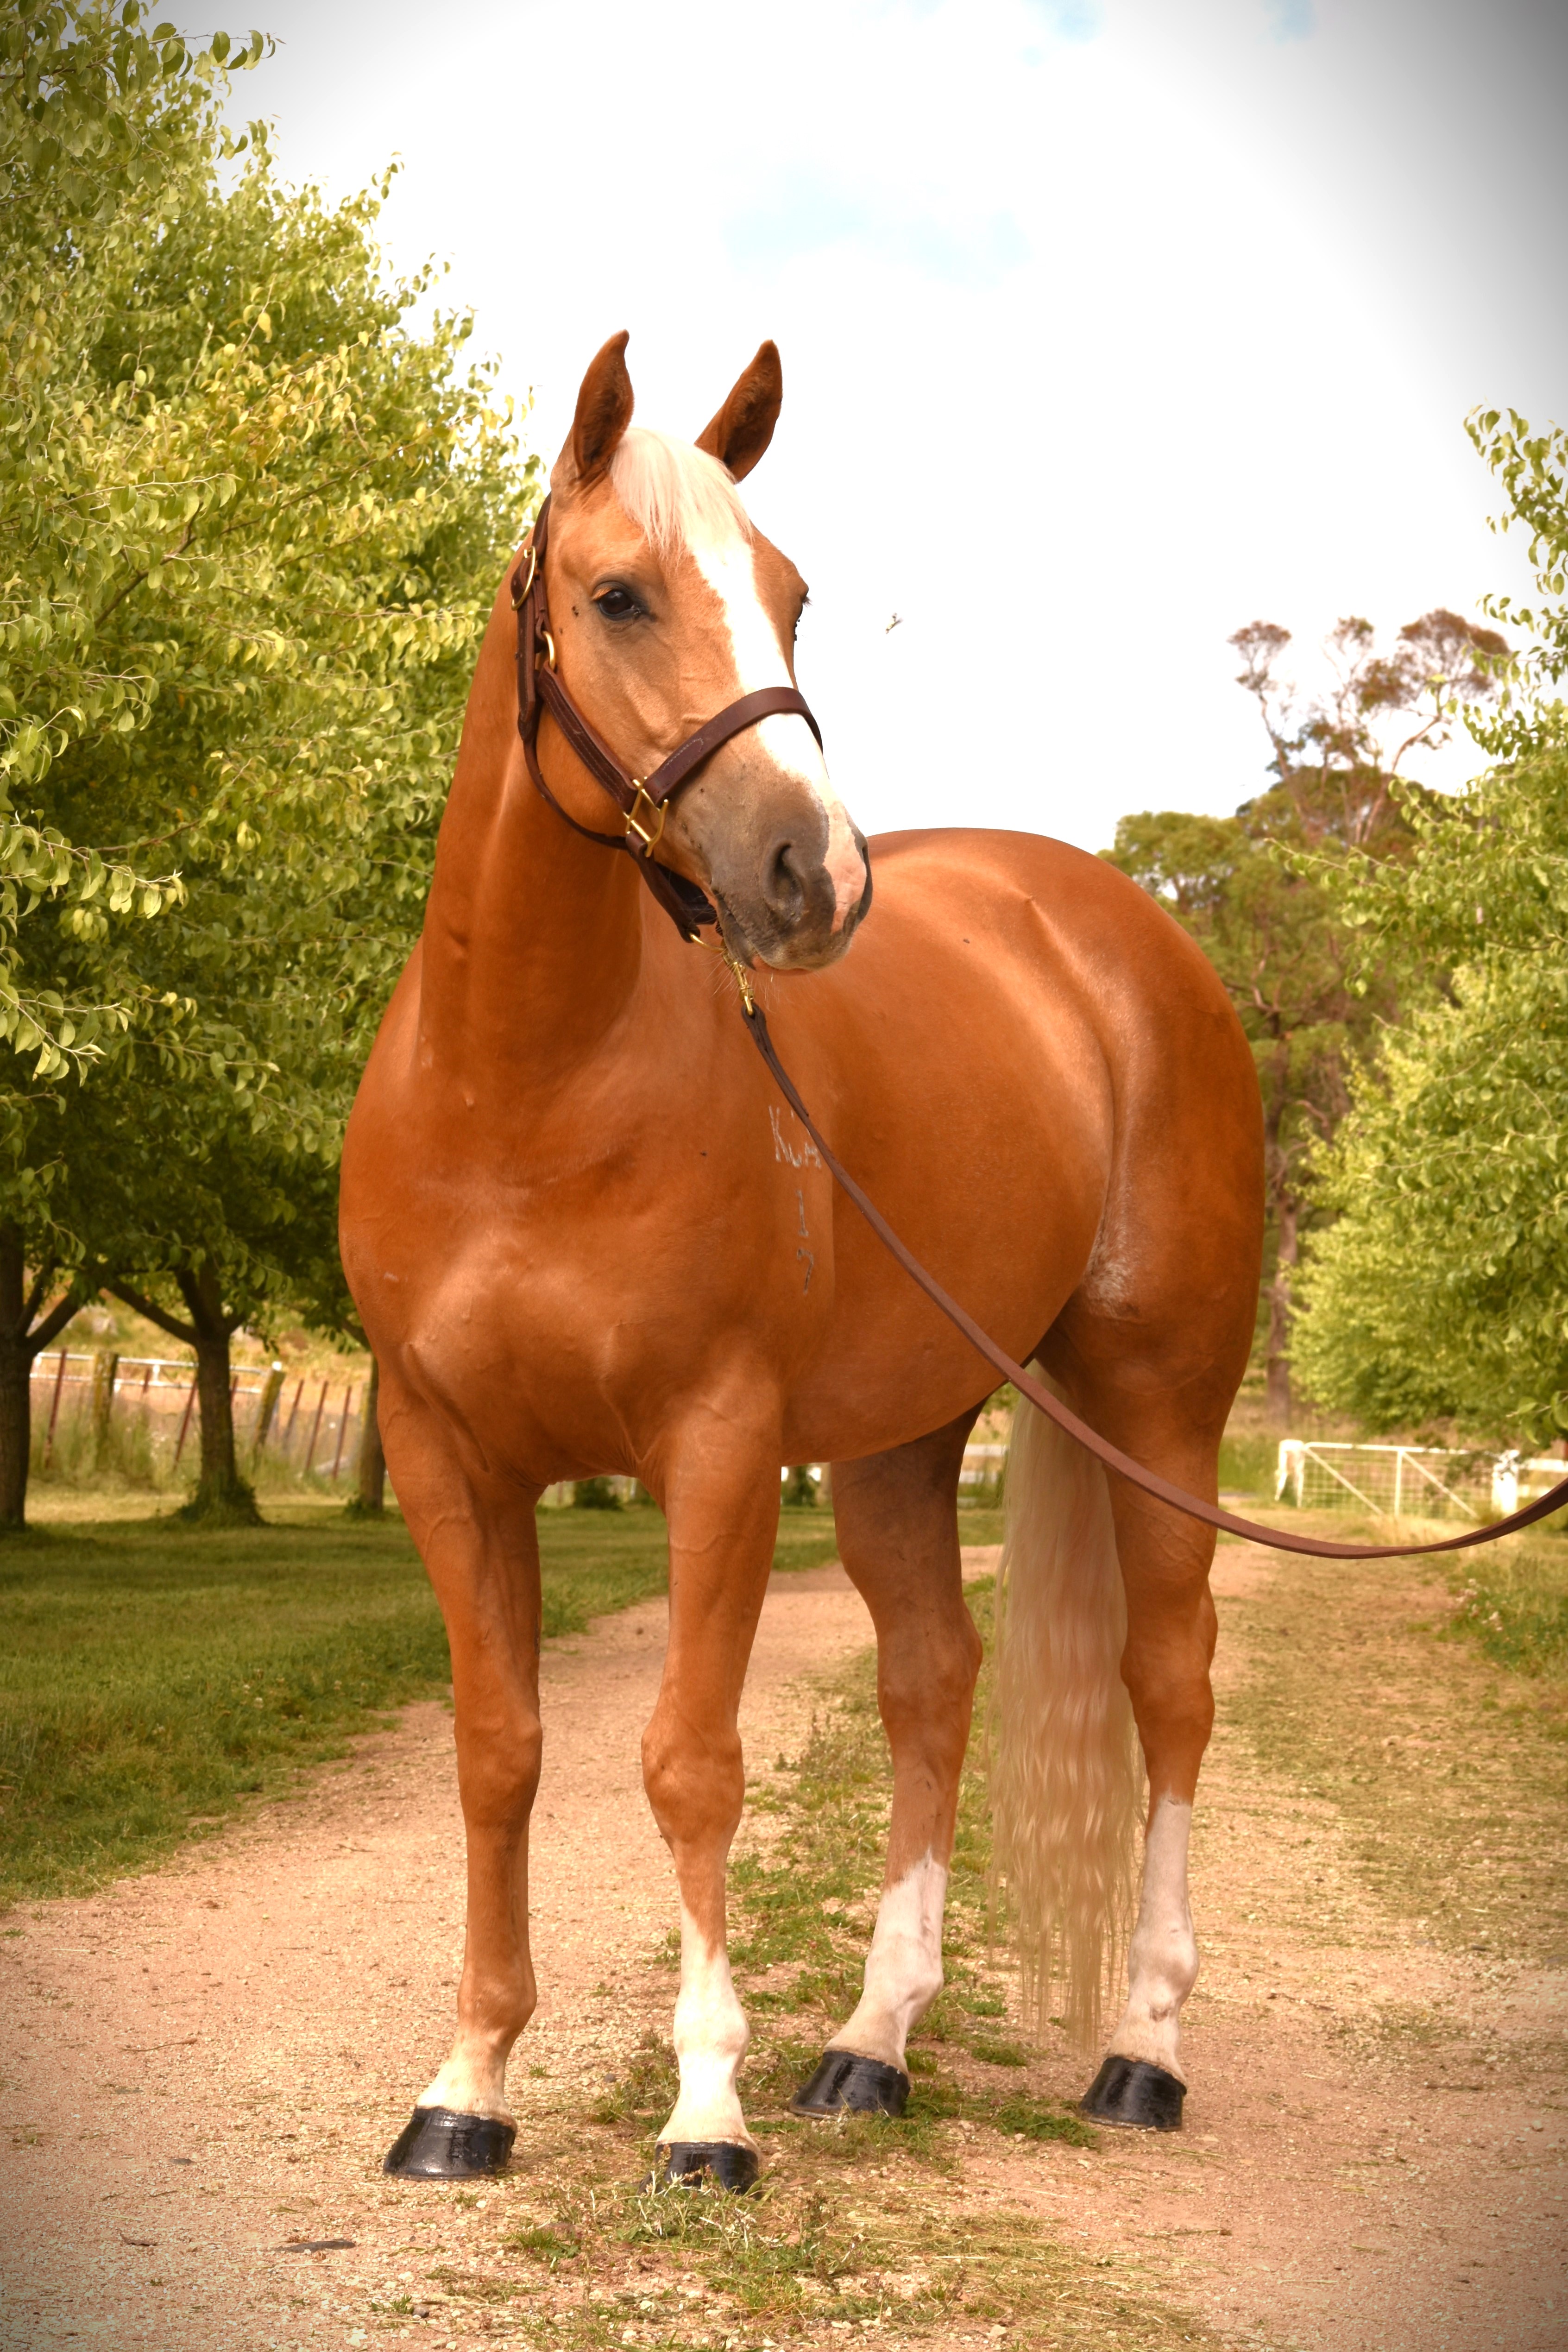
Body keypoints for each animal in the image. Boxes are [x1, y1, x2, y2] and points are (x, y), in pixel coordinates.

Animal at [339, 331, 1263, 2189]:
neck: (516, 1090)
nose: (812, 877)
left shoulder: (716, 1447)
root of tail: (1112, 929)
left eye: (791, 593)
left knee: (1170, 1688)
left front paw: (705, 2105)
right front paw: (467, 2082)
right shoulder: (444, 1454)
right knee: (932, 1684)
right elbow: (498, 1753)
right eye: (617, 594)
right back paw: (870, 2042)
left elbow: (690, 1759)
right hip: (902, 1442)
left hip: (1157, 1408)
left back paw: (1140, 2047)